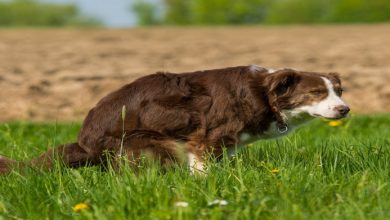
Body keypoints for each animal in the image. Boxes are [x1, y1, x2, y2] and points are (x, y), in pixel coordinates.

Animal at [0, 64, 348, 174]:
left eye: (339, 91)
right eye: (317, 92)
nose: (345, 110)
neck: (264, 93)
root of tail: (84, 143)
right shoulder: (208, 136)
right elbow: (204, 169)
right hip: (151, 142)